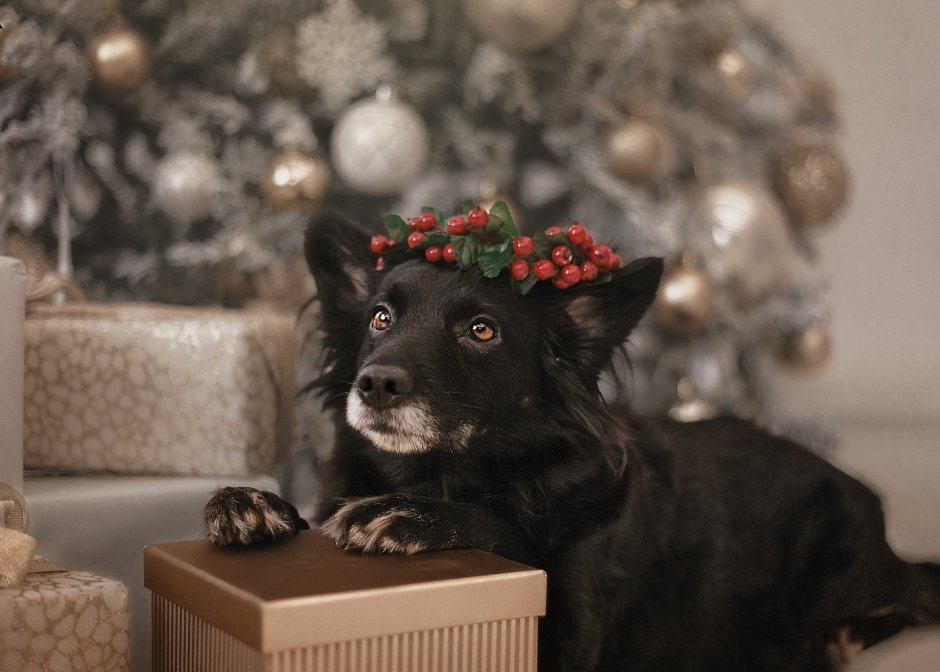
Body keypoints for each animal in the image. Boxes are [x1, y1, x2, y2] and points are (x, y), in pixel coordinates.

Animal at [206, 213, 940, 668]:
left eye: (481, 331)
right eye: (380, 318)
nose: (375, 384)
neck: (444, 471)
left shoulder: (565, 632)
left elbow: (505, 528)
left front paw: (407, 517)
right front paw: (253, 503)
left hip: (839, 563)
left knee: (913, 590)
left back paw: (847, 637)